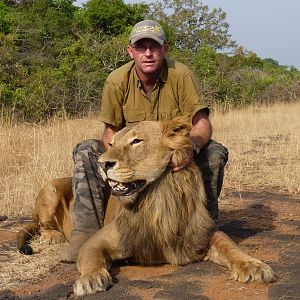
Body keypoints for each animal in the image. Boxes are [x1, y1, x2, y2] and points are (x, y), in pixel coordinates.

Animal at [17, 116, 276, 296]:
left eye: (136, 141)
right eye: (111, 143)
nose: (102, 163)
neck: (156, 198)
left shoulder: (200, 233)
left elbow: (230, 246)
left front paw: (254, 266)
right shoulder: (100, 240)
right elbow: (92, 259)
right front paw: (89, 280)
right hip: (51, 188)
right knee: (43, 224)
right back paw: (52, 237)